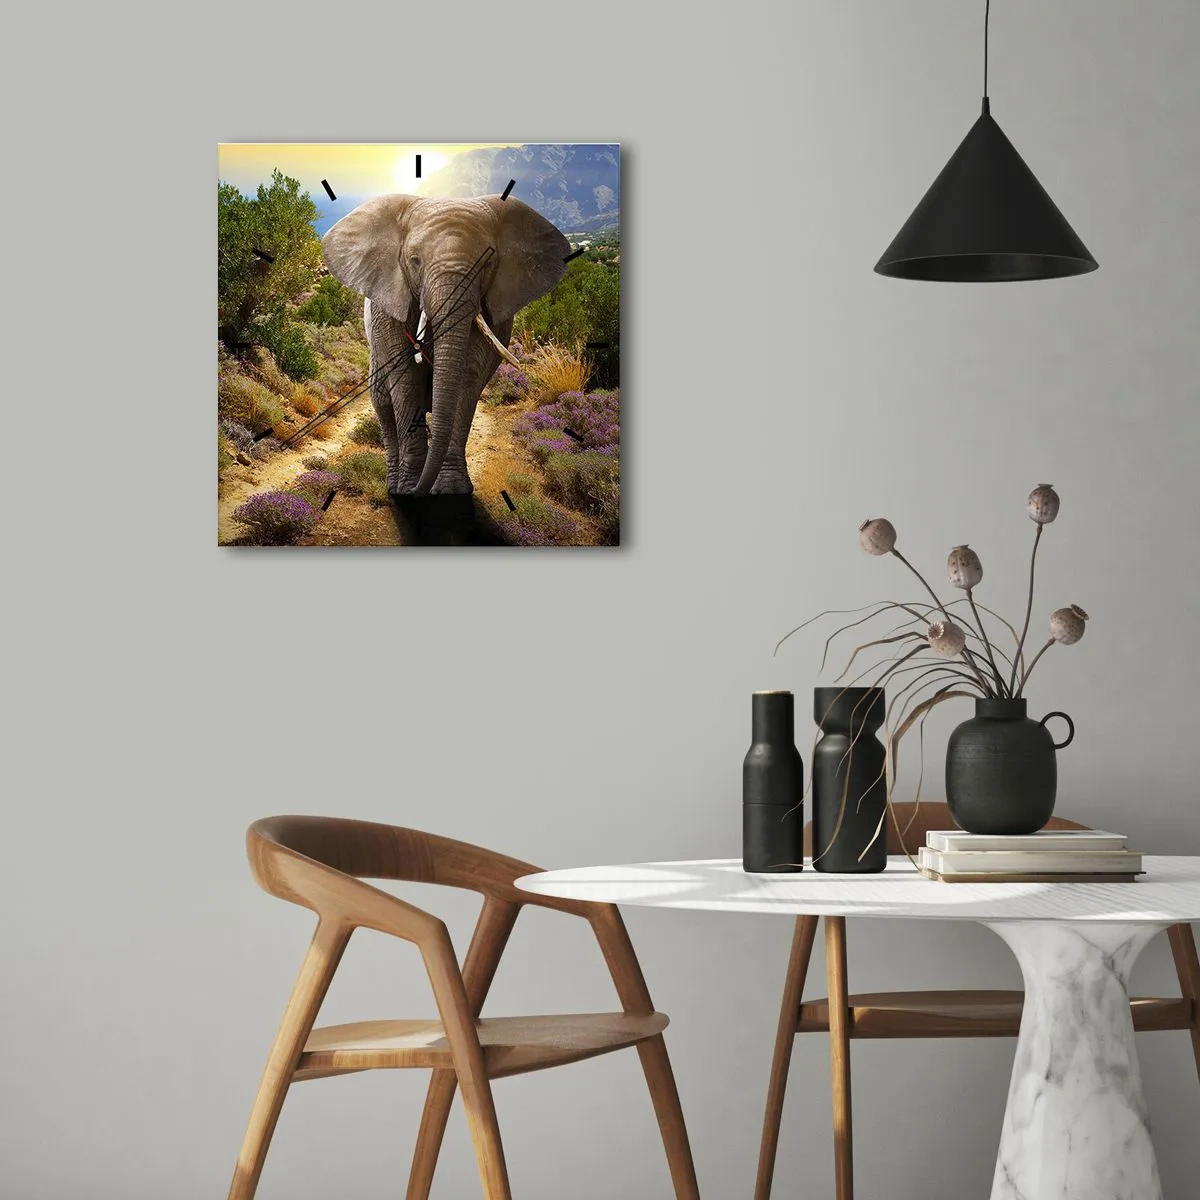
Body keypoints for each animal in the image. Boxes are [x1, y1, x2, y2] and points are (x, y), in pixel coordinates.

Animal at [321, 194, 569, 495]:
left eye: (488, 263)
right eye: (415, 261)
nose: (417, 491)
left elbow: (469, 374)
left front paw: (451, 489)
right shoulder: (388, 302)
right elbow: (405, 377)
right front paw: (409, 488)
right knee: (383, 404)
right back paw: (394, 485)